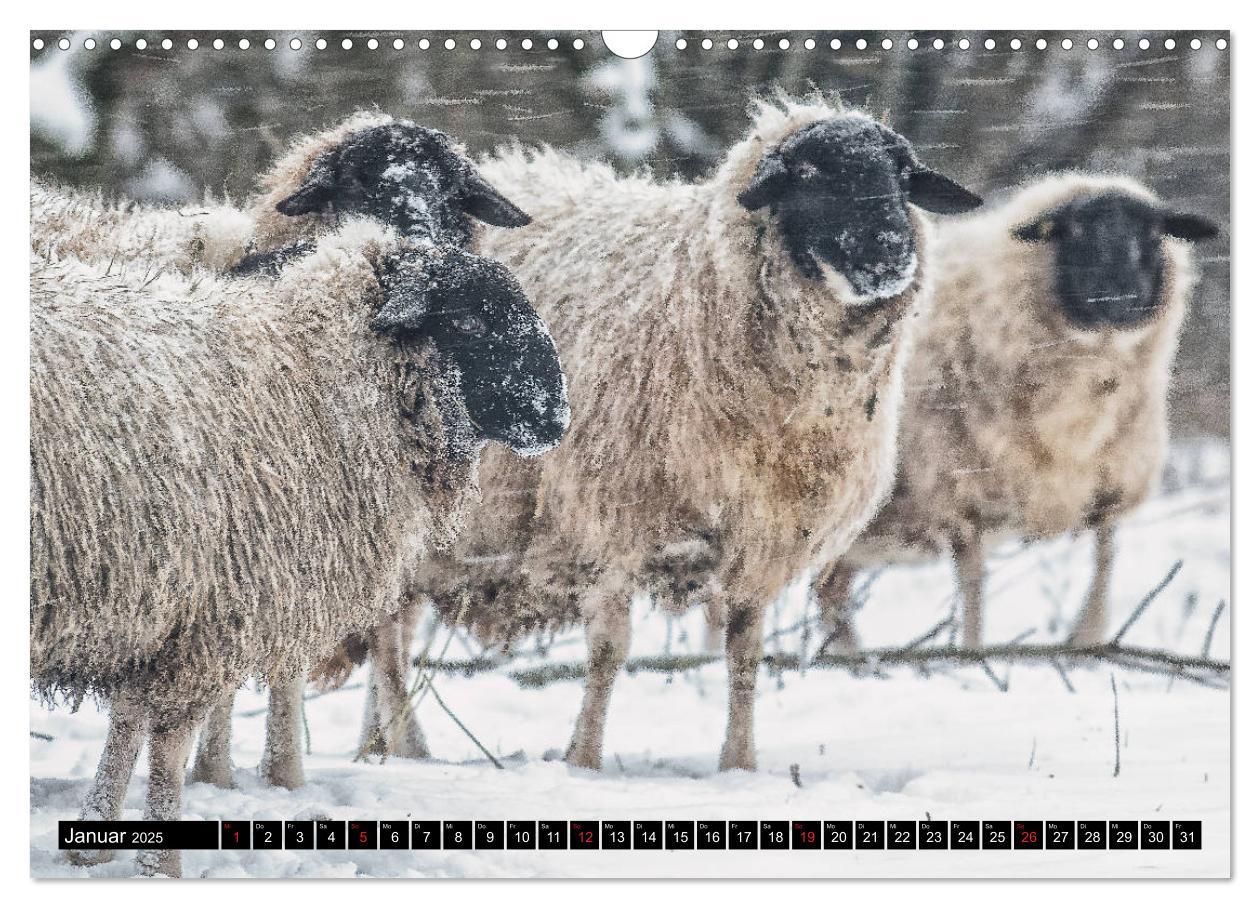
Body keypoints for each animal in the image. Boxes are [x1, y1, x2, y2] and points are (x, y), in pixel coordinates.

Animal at [30, 216, 572, 876]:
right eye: (468, 321)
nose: (557, 415)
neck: (308, 373)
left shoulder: (158, 608)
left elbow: (128, 721)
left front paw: (92, 843)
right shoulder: (209, 614)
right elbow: (167, 745)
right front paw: (162, 868)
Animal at [312, 95, 982, 770]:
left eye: (902, 177)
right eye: (809, 175)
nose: (888, 253)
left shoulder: (762, 535)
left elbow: (745, 653)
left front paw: (738, 765)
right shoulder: (612, 516)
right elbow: (609, 651)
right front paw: (583, 761)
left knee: (392, 631)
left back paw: (378, 746)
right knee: (387, 640)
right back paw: (407, 748)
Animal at [811, 171, 1214, 649]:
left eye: (1153, 235)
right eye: (1071, 232)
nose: (1119, 295)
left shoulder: (1112, 487)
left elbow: (1104, 566)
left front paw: (1084, 640)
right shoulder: (961, 502)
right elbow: (974, 600)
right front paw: (973, 655)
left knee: (831, 591)